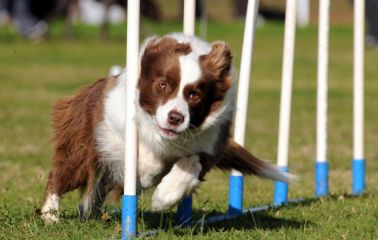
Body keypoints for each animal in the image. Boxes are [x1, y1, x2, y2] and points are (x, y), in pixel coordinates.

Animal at [42, 32, 296, 223]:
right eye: (162, 85)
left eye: (194, 94)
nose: (176, 118)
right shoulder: (112, 126)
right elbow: (142, 153)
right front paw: (147, 173)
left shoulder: (210, 143)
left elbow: (191, 162)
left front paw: (164, 197)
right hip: (83, 143)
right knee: (63, 173)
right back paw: (50, 215)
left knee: (102, 184)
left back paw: (92, 210)